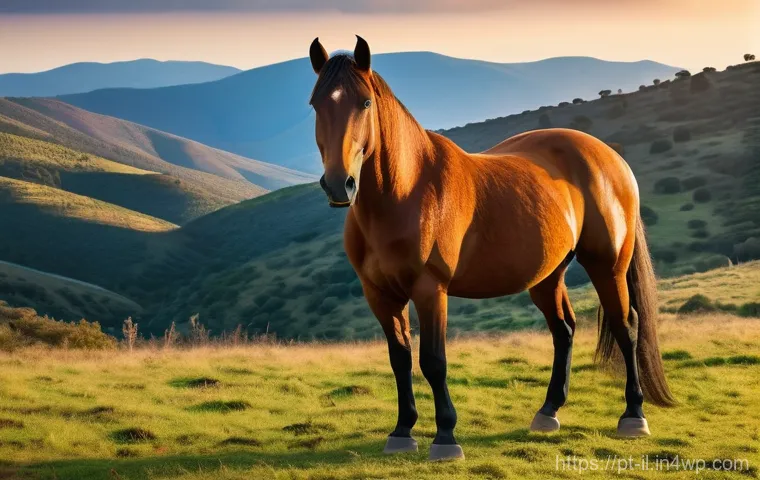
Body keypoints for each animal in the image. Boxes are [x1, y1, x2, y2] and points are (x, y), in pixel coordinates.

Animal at [308, 36, 675, 461]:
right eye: (316, 104)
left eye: (365, 103)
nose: (340, 184)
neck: (405, 192)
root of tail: (611, 157)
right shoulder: (380, 295)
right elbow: (400, 359)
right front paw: (402, 431)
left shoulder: (430, 290)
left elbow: (433, 361)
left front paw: (445, 437)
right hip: (548, 275)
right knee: (564, 329)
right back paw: (548, 412)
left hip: (608, 265)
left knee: (625, 326)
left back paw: (633, 416)